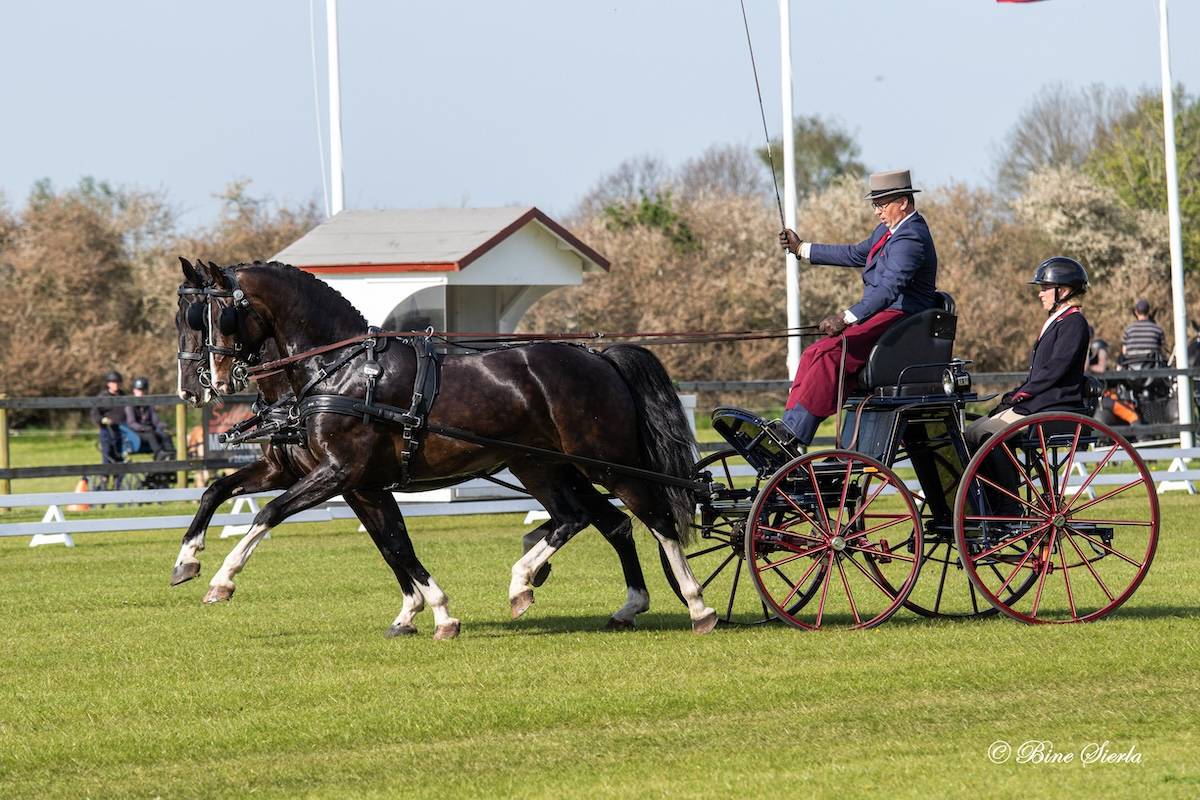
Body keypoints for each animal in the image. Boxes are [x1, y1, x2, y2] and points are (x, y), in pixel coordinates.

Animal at [186, 260, 710, 633]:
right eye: (187, 317)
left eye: (217, 316)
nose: (202, 385)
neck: (341, 371)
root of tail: (598, 357)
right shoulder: (353, 483)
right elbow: (393, 543)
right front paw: (425, 612)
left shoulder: (339, 474)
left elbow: (269, 513)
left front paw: (221, 579)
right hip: (543, 466)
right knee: (588, 520)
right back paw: (577, 594)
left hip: (609, 463)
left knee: (656, 520)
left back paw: (696, 605)